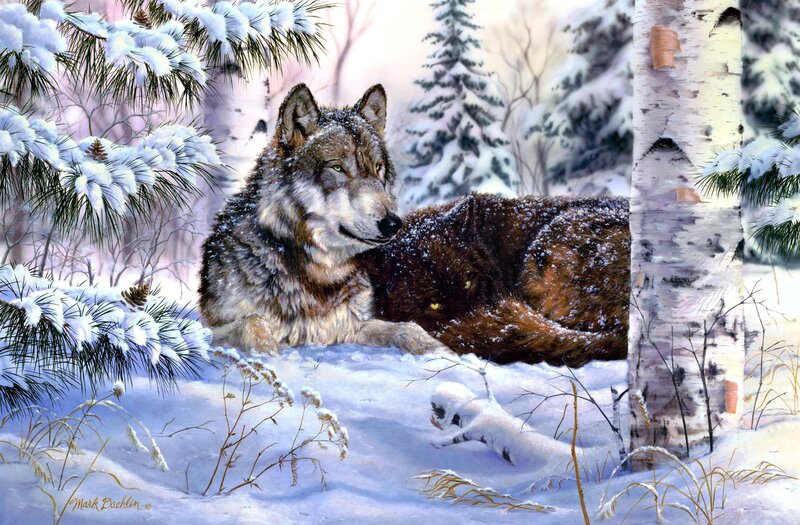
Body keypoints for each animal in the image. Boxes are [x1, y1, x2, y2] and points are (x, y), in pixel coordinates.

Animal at [199, 84, 447, 355]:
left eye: (378, 167)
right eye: (337, 168)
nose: (393, 224)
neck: (319, 273)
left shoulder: (348, 325)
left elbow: (408, 329)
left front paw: (443, 352)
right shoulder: (211, 326)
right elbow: (253, 324)